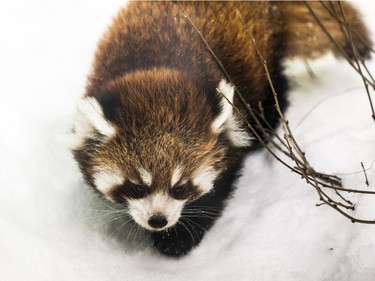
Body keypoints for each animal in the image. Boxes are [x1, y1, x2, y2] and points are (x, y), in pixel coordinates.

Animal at [71, 2, 374, 256]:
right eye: (137, 187)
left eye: (180, 188)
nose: (158, 220)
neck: (157, 71)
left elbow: (217, 189)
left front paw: (178, 240)